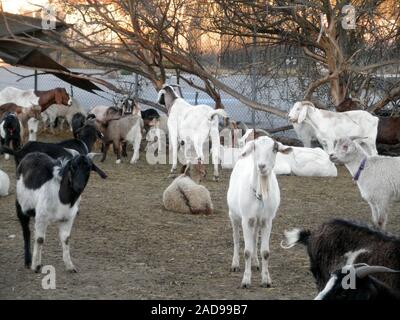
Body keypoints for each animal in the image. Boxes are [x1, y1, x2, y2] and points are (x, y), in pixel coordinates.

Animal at [227, 135, 292, 288]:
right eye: (255, 147)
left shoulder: (267, 220)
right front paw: (245, 281)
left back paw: (256, 263)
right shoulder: (246, 219)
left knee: (254, 237)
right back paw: (235, 264)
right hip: (234, 215)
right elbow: (247, 251)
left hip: (257, 221)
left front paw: (266, 280)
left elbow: (265, 252)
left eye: (275, 149)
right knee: (236, 238)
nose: (261, 166)